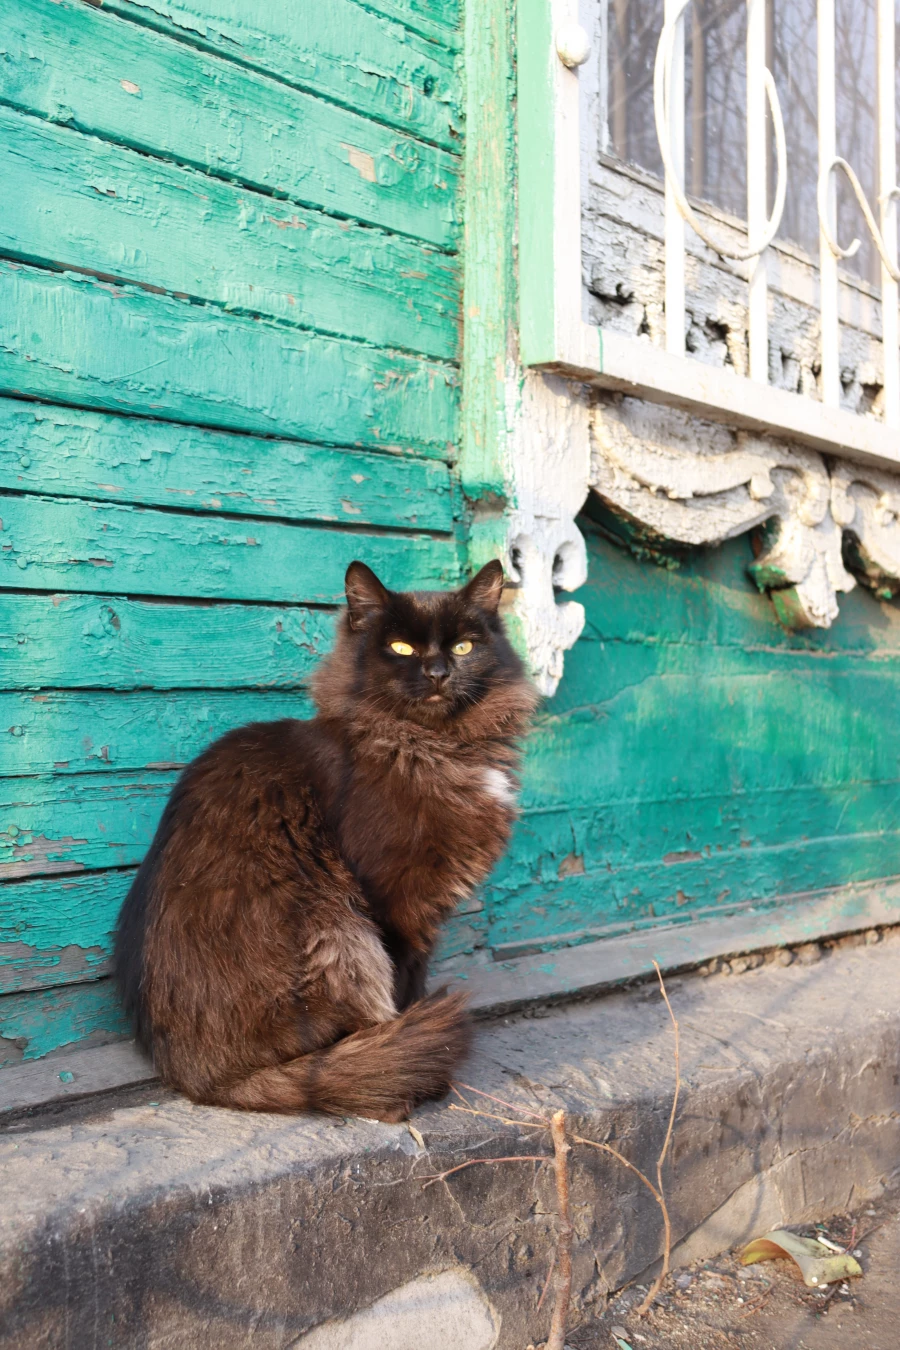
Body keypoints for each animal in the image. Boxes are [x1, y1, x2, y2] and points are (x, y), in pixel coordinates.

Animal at [112, 553, 534, 1123]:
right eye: (401, 648)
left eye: (464, 648)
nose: (438, 673)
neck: (436, 747)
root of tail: (203, 1079)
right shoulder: (394, 907)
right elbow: (406, 984)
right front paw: (412, 1054)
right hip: (339, 929)